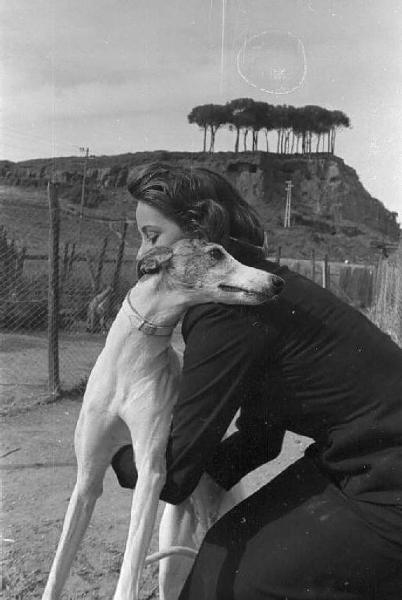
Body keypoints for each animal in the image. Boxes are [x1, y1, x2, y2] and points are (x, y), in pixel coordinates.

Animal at [42, 239, 284, 600]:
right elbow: (58, 567)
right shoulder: (87, 478)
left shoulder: (151, 471)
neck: (130, 362)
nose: (276, 282)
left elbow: (129, 573)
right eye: (215, 253)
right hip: (172, 556)